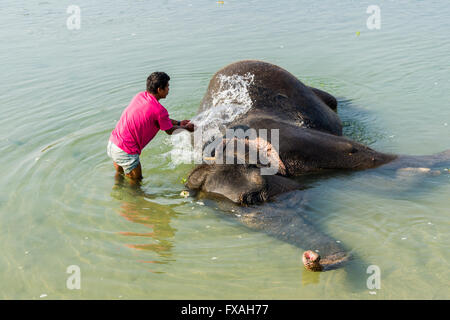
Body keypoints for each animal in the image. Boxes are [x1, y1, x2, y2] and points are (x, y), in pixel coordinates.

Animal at [185, 59, 448, 270]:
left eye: (255, 196)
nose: (312, 256)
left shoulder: (288, 137)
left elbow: (357, 153)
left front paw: (433, 163)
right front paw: (415, 174)